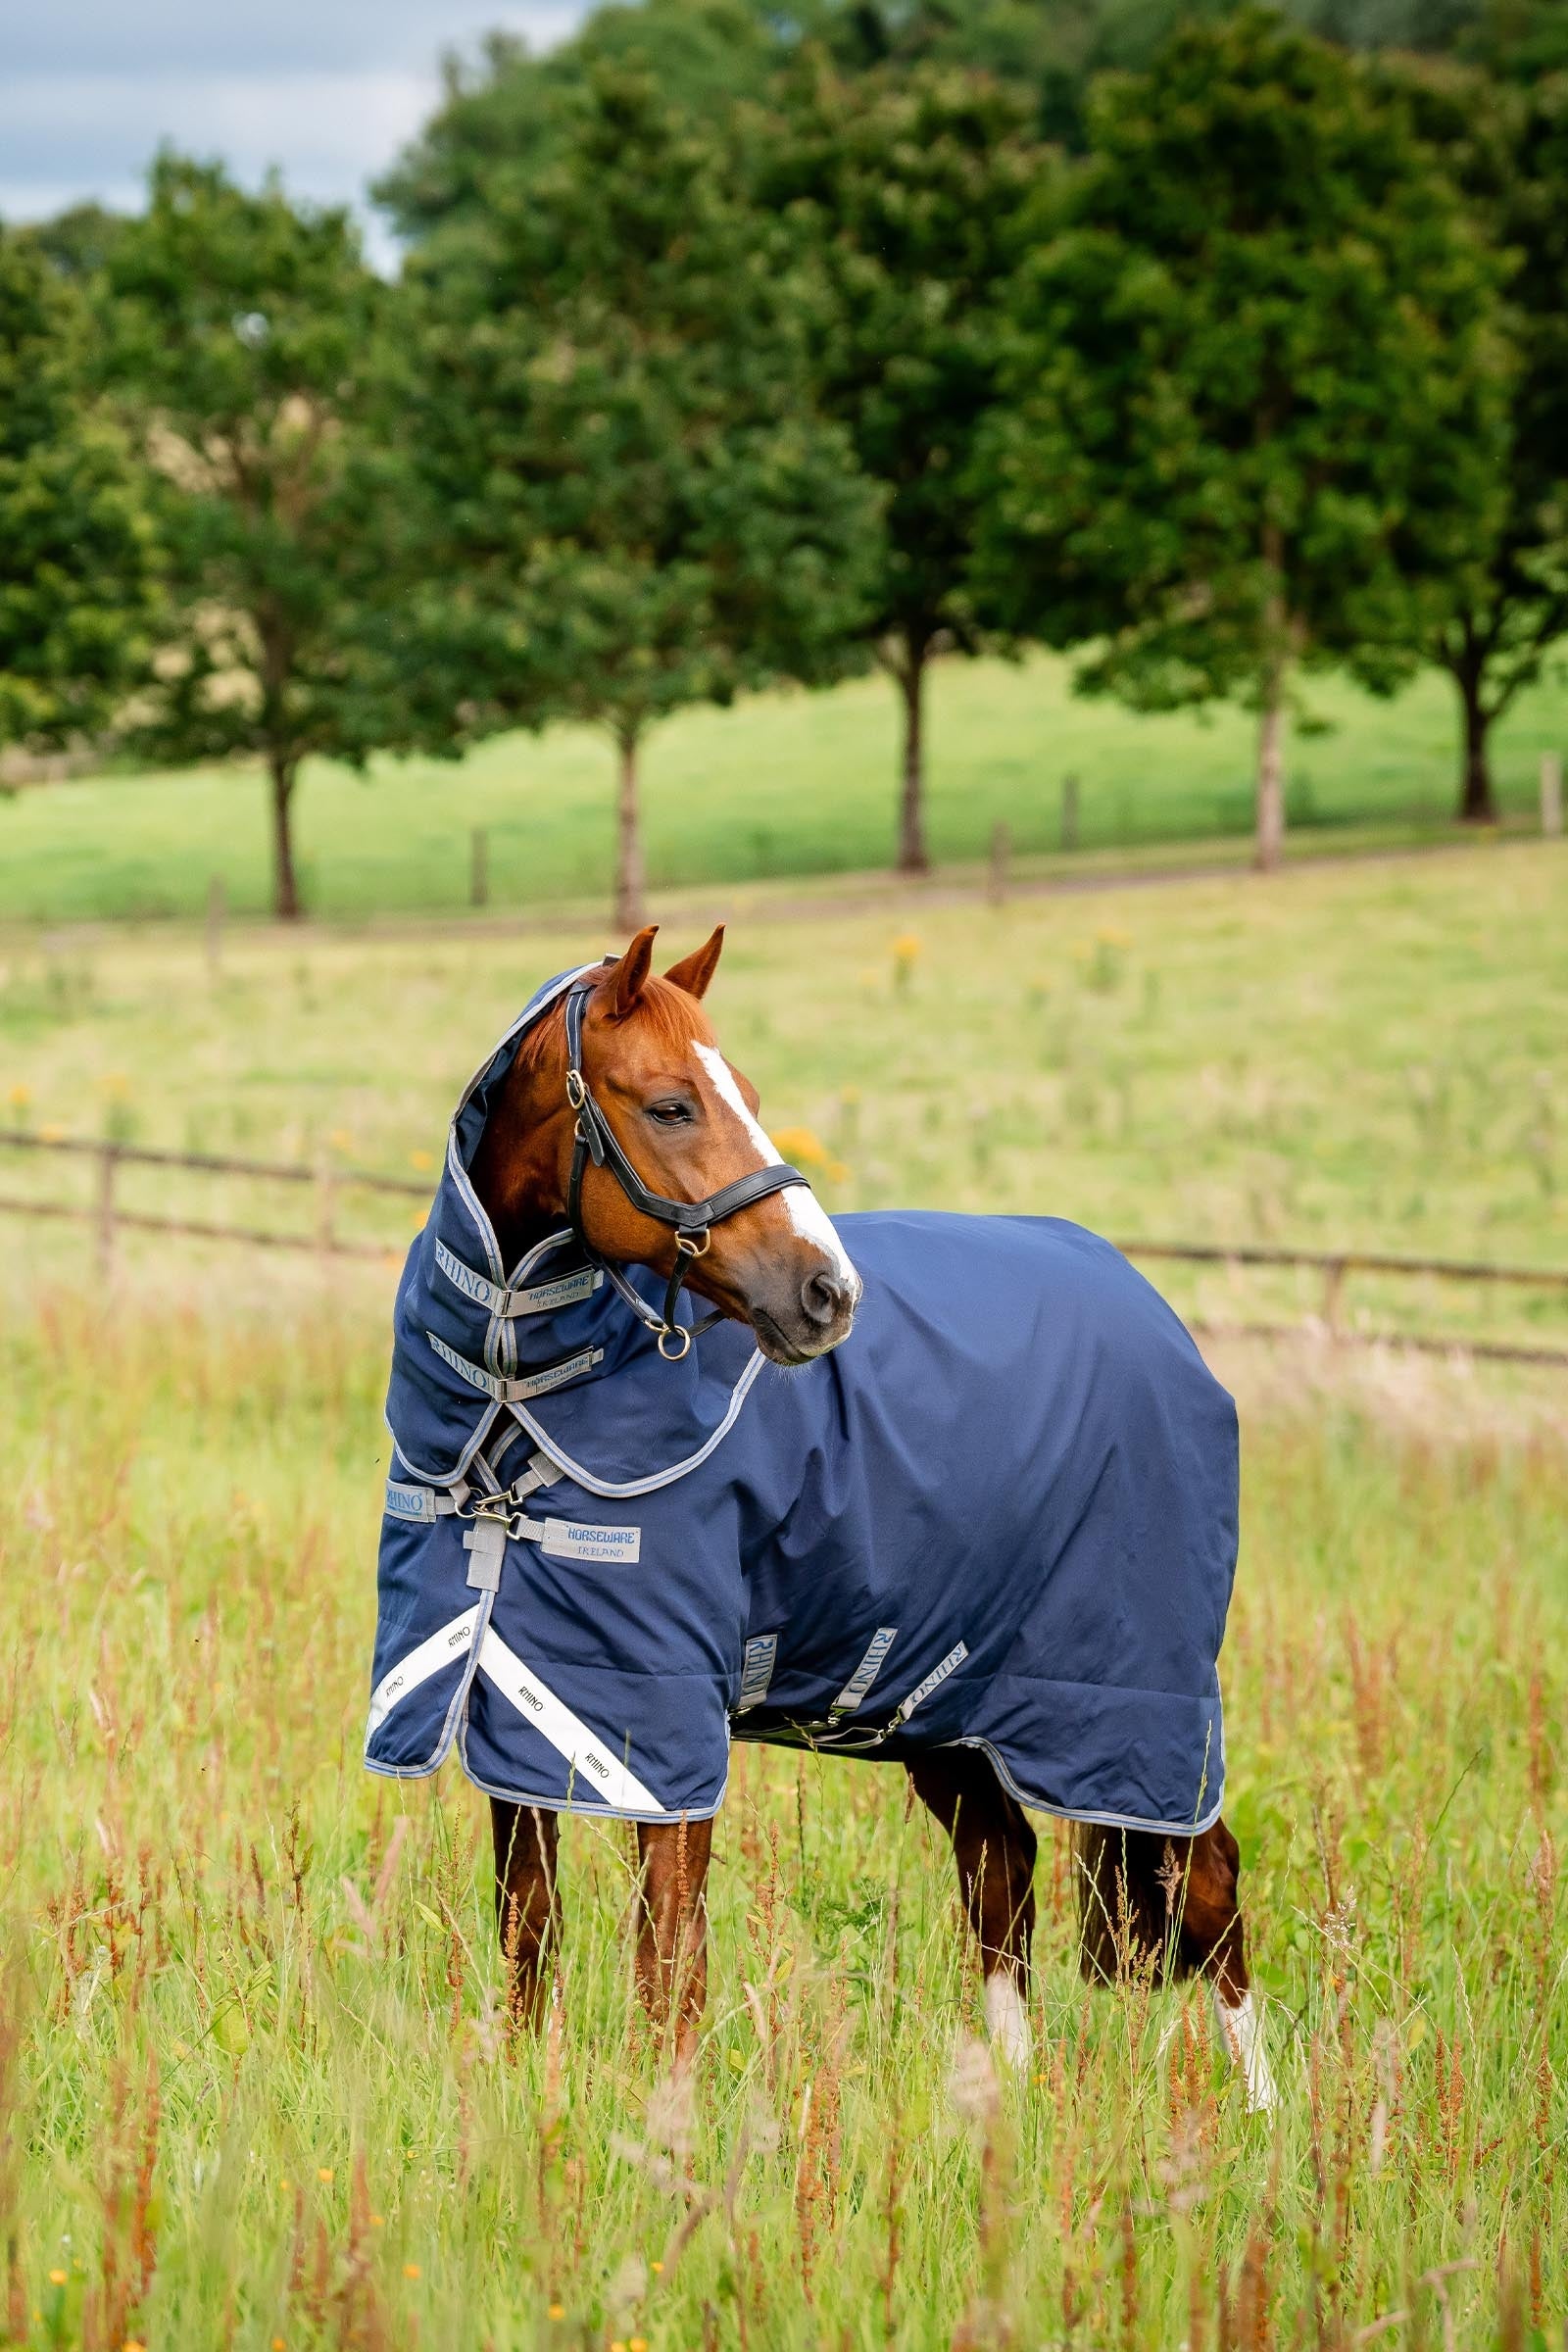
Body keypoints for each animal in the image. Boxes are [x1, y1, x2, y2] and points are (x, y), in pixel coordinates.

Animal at [365, 926, 1274, 2111]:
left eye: (746, 1096)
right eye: (671, 1105)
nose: (827, 1294)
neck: (522, 1402)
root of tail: (1160, 1320)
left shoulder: (659, 1726)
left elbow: (669, 1959)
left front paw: (666, 2127)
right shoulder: (508, 1699)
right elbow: (531, 1927)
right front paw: (525, 2101)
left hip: (1135, 1708)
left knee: (1204, 1881)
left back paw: (1264, 2117)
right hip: (952, 1702)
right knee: (1001, 1872)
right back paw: (1007, 2100)